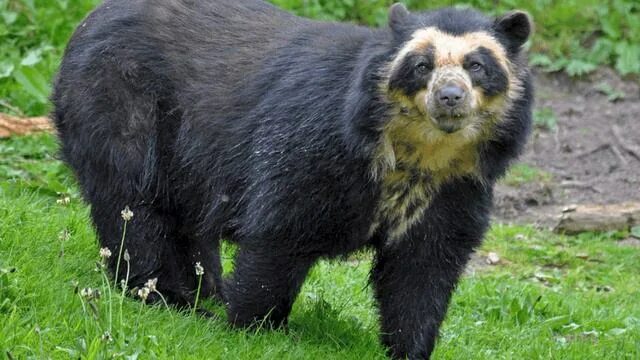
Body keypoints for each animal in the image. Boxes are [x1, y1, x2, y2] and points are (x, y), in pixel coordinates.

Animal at [53, 0, 536, 358]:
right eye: (421, 65)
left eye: (477, 65)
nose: (449, 97)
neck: (417, 153)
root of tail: (87, 21)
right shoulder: (314, 145)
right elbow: (279, 230)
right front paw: (254, 326)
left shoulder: (457, 187)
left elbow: (424, 266)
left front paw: (409, 348)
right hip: (121, 103)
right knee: (134, 204)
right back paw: (168, 296)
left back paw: (204, 290)